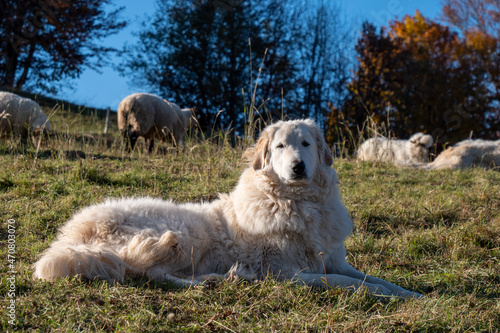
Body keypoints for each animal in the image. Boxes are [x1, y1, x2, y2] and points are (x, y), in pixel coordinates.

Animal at [33, 119, 420, 298]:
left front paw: (410, 293)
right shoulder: (289, 273)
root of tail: (68, 237)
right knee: (146, 272)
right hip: (182, 234)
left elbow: (372, 277)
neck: (295, 202)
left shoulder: (333, 259)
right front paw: (387, 295)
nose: (297, 167)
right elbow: (347, 283)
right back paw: (211, 281)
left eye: (306, 144)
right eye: (280, 147)